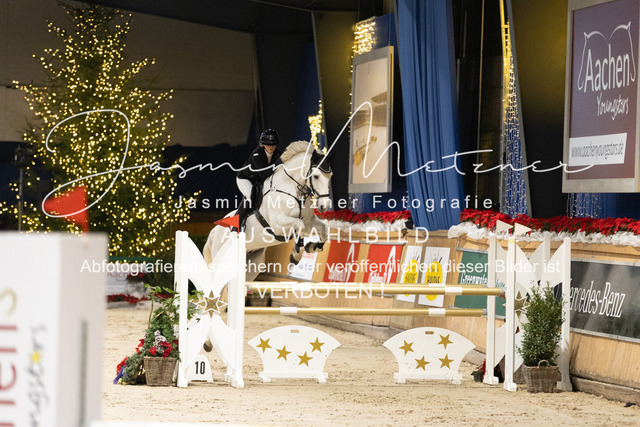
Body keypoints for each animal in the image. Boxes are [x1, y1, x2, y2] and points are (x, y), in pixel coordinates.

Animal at [203, 141, 332, 280]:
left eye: (330, 176)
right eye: (316, 176)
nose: (324, 206)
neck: (291, 187)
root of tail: (215, 232)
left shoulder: (308, 222)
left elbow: (323, 228)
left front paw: (313, 247)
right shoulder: (278, 225)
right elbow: (299, 225)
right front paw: (296, 255)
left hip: (252, 265)